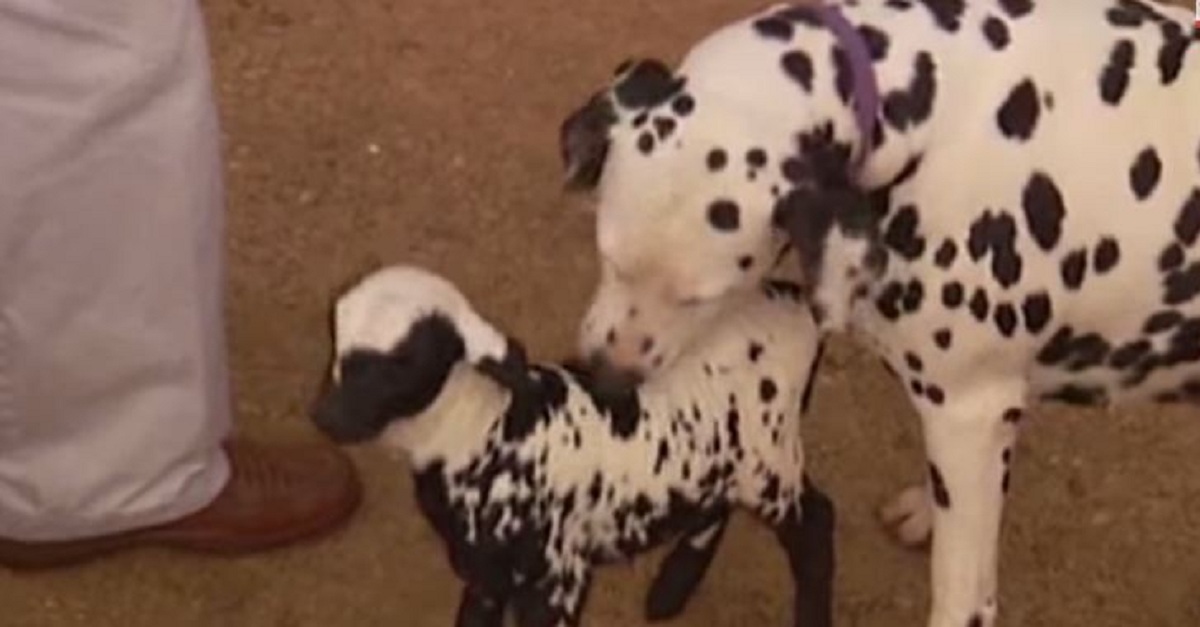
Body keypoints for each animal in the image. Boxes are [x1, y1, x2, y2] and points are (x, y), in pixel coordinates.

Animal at [309, 264, 835, 624]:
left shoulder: (558, 576)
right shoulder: (486, 573)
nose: (326, 417)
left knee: (815, 522)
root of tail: (794, 300)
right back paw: (671, 589)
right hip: (721, 453)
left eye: (405, 361)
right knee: (715, 505)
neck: (481, 431)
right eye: (336, 335)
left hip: (770, 460)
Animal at [556, 1, 1200, 624]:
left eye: (703, 296)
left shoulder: (968, 412)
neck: (922, 112)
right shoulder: (982, 415)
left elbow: (961, 598)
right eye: (606, 254)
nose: (607, 377)